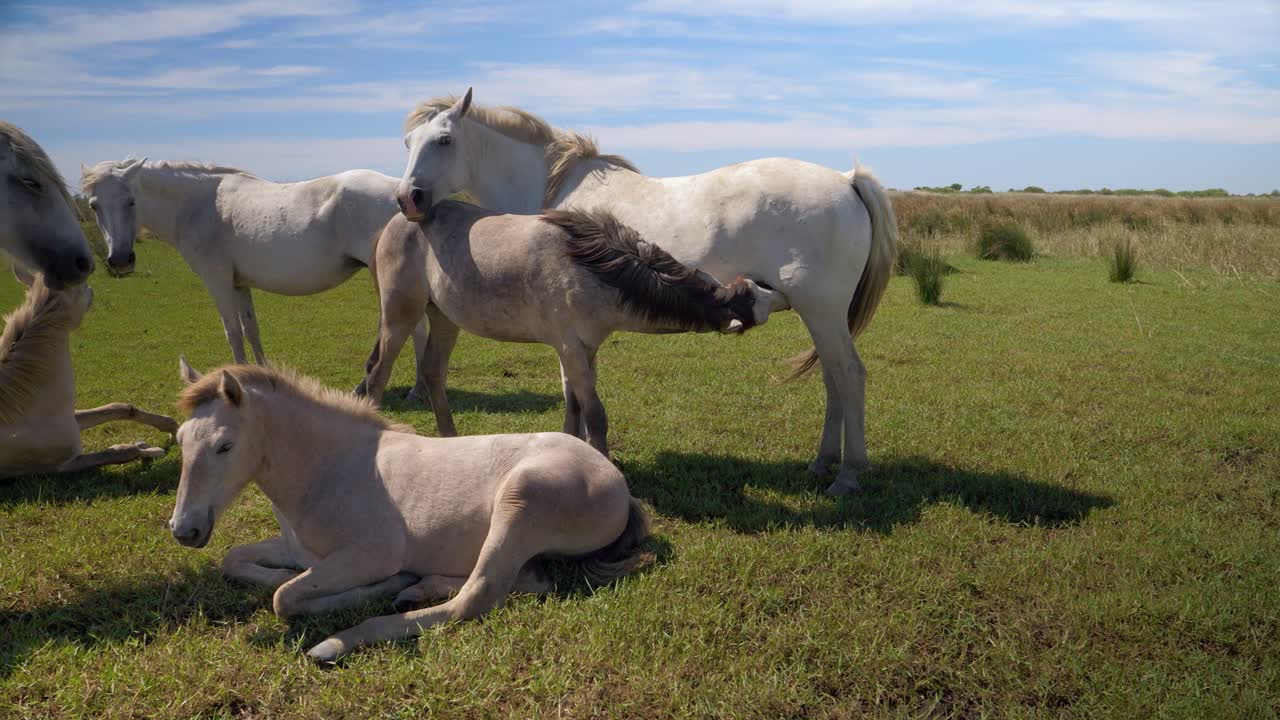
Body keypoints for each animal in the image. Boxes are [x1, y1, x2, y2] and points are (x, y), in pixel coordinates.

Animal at [0, 266, 177, 478]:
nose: (92, 289)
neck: (22, 411)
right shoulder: (63, 466)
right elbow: (122, 451)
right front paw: (150, 449)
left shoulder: (72, 419)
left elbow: (120, 408)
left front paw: (172, 429)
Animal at [79, 160, 428, 388]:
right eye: (94, 205)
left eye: (131, 201)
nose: (120, 260)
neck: (196, 206)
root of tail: (400, 193)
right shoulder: (239, 285)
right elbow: (251, 329)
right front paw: (262, 375)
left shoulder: (217, 280)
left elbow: (232, 332)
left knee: (416, 329)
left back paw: (417, 389)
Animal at [169, 359, 650, 662]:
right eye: (178, 439)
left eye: (224, 445)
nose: (183, 530)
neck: (329, 469)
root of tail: (617, 483)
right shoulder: (297, 550)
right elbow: (237, 561)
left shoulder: (370, 554)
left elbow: (284, 598)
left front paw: (372, 588)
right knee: (529, 581)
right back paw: (418, 587)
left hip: (520, 498)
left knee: (476, 597)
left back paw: (339, 642)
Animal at [356, 202, 784, 454]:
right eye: (753, 304)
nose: (777, 291)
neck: (590, 267)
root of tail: (392, 224)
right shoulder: (569, 347)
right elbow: (594, 414)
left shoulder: (586, 350)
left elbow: (575, 406)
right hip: (399, 315)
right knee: (378, 374)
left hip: (444, 319)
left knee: (432, 373)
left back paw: (450, 441)